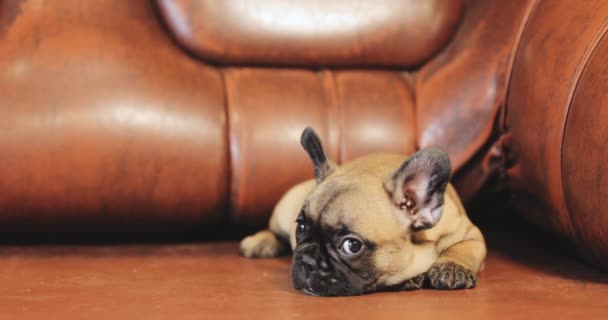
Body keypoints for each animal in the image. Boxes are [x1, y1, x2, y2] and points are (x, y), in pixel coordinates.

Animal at [240, 126, 486, 296]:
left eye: (352, 245)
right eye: (300, 227)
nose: (307, 261)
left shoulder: (471, 234)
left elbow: (464, 248)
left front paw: (451, 267)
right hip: (285, 206)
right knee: (273, 230)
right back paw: (259, 242)